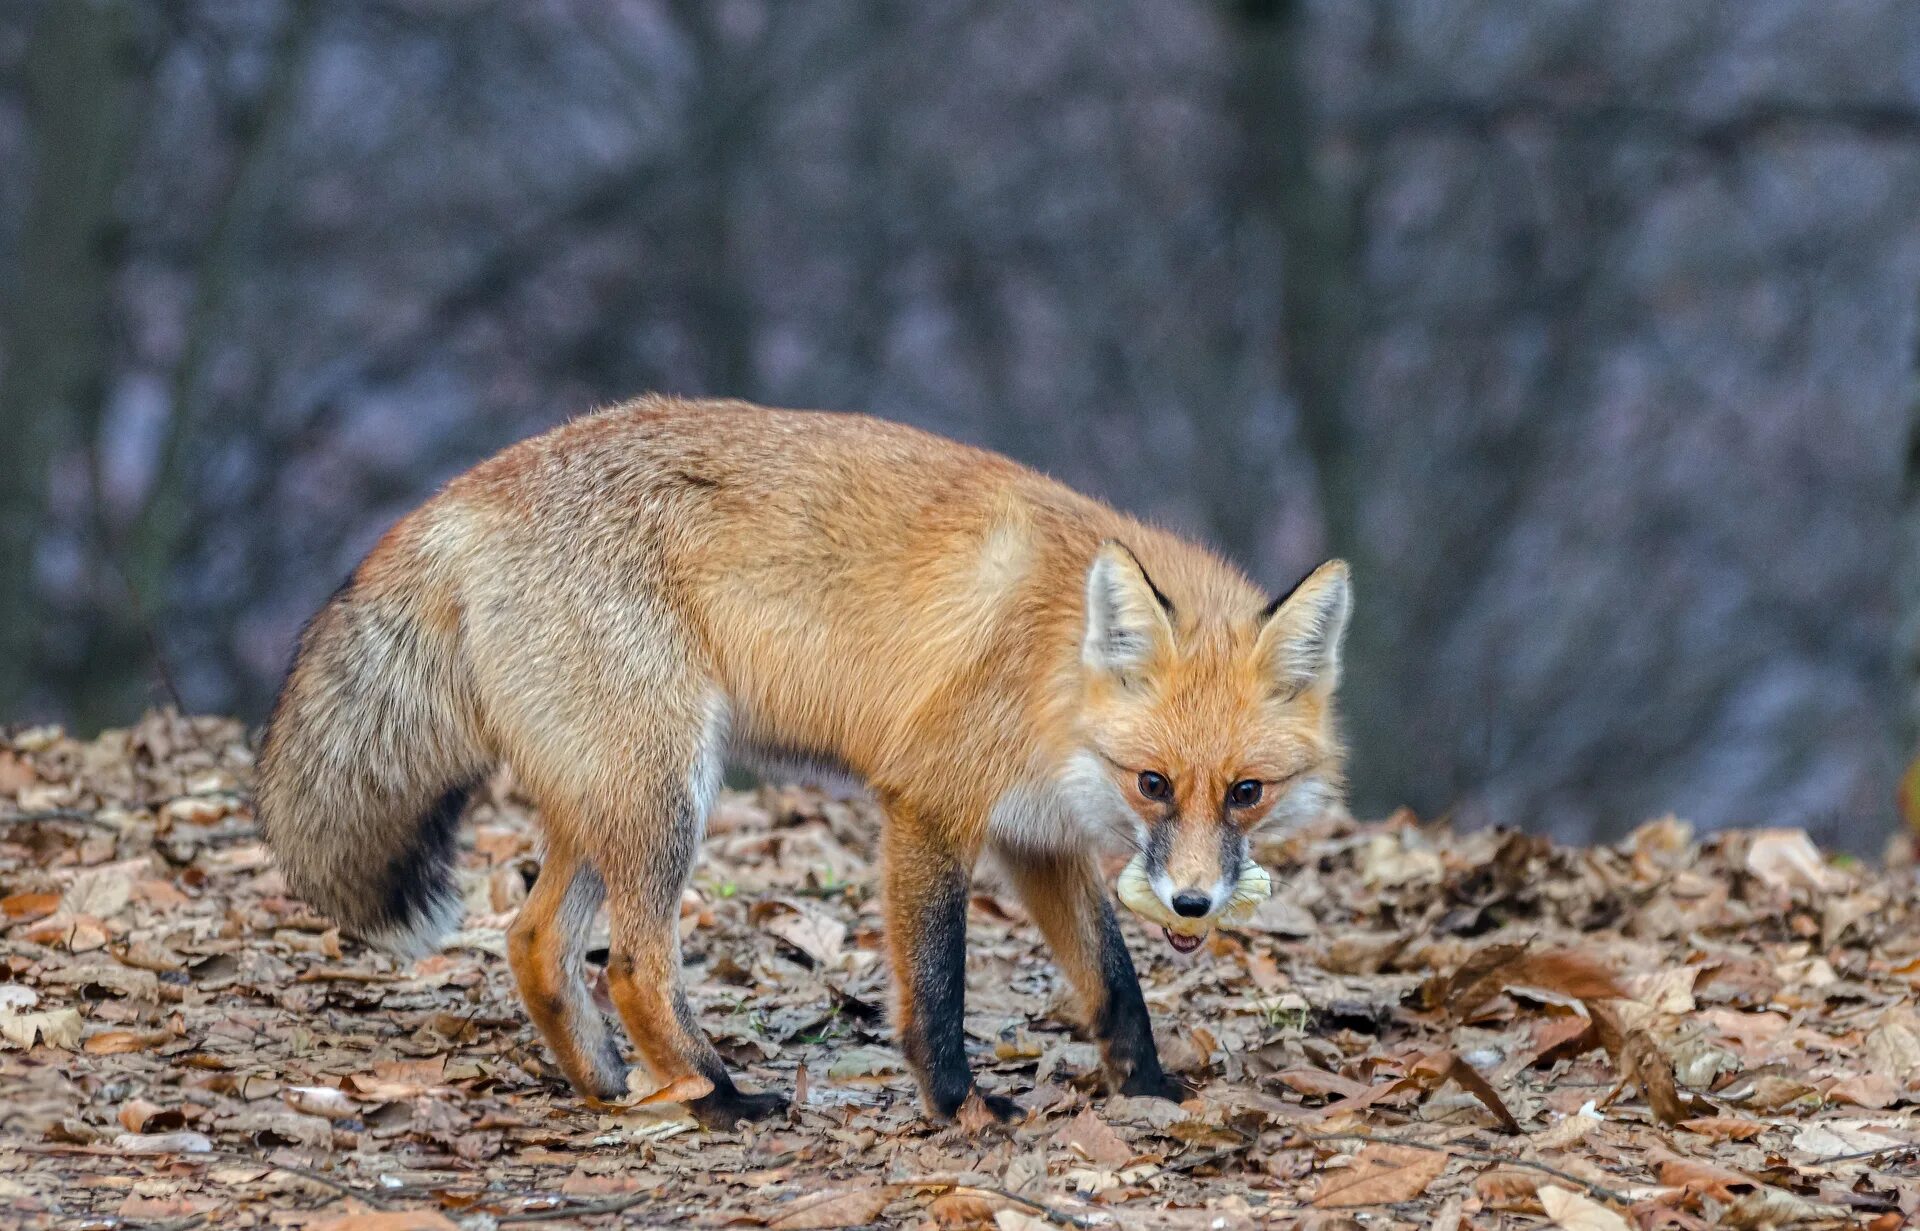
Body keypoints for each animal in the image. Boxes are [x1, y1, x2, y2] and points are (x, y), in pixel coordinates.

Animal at [259, 395, 1351, 1121]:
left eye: (1247, 793)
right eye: (1153, 783)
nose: (1194, 904)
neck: (1052, 664)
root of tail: (477, 484)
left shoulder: (1035, 839)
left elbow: (1115, 984)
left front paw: (1153, 1089)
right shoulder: (928, 801)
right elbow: (938, 984)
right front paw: (959, 1107)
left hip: (609, 795)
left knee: (532, 940)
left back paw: (613, 1087)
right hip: (669, 794)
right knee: (635, 964)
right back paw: (717, 1096)